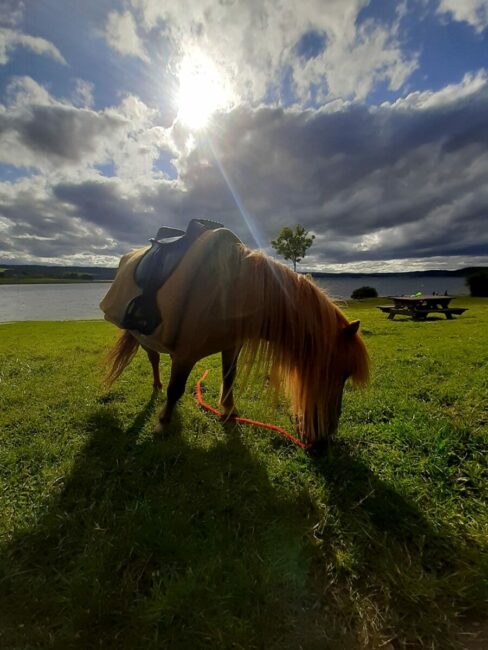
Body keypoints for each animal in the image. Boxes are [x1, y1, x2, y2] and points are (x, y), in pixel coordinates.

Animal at [103, 227, 370, 446]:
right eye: (340, 372)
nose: (326, 435)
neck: (235, 289)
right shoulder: (185, 355)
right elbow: (175, 389)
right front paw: (162, 424)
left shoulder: (231, 346)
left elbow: (229, 377)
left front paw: (229, 411)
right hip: (140, 335)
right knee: (154, 359)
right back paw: (157, 386)